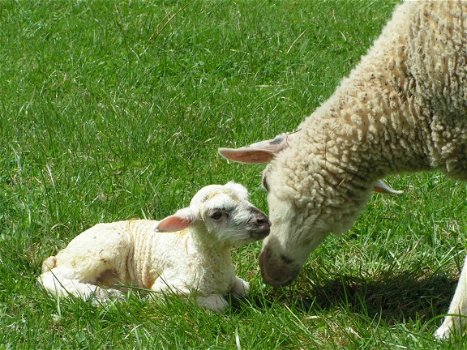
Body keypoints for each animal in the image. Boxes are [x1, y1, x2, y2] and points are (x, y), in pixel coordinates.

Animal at [37, 182, 270, 310]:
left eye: (246, 198)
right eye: (216, 214)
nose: (264, 222)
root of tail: (61, 254)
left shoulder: (234, 282)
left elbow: (243, 288)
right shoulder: (165, 289)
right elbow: (220, 304)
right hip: (100, 249)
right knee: (50, 278)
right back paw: (106, 296)